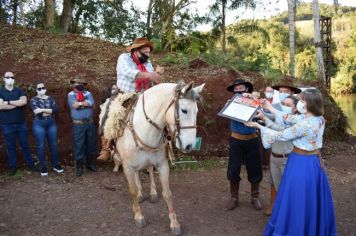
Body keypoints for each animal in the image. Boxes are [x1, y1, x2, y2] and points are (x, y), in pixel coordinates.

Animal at [114, 82, 203, 235]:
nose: (189, 145)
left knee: (149, 170)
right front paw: (138, 215)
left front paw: (174, 223)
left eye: (196, 111)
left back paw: (153, 193)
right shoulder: (127, 167)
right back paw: (140, 194)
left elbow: (167, 193)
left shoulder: (162, 165)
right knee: (137, 175)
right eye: (184, 110)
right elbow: (132, 190)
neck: (143, 129)